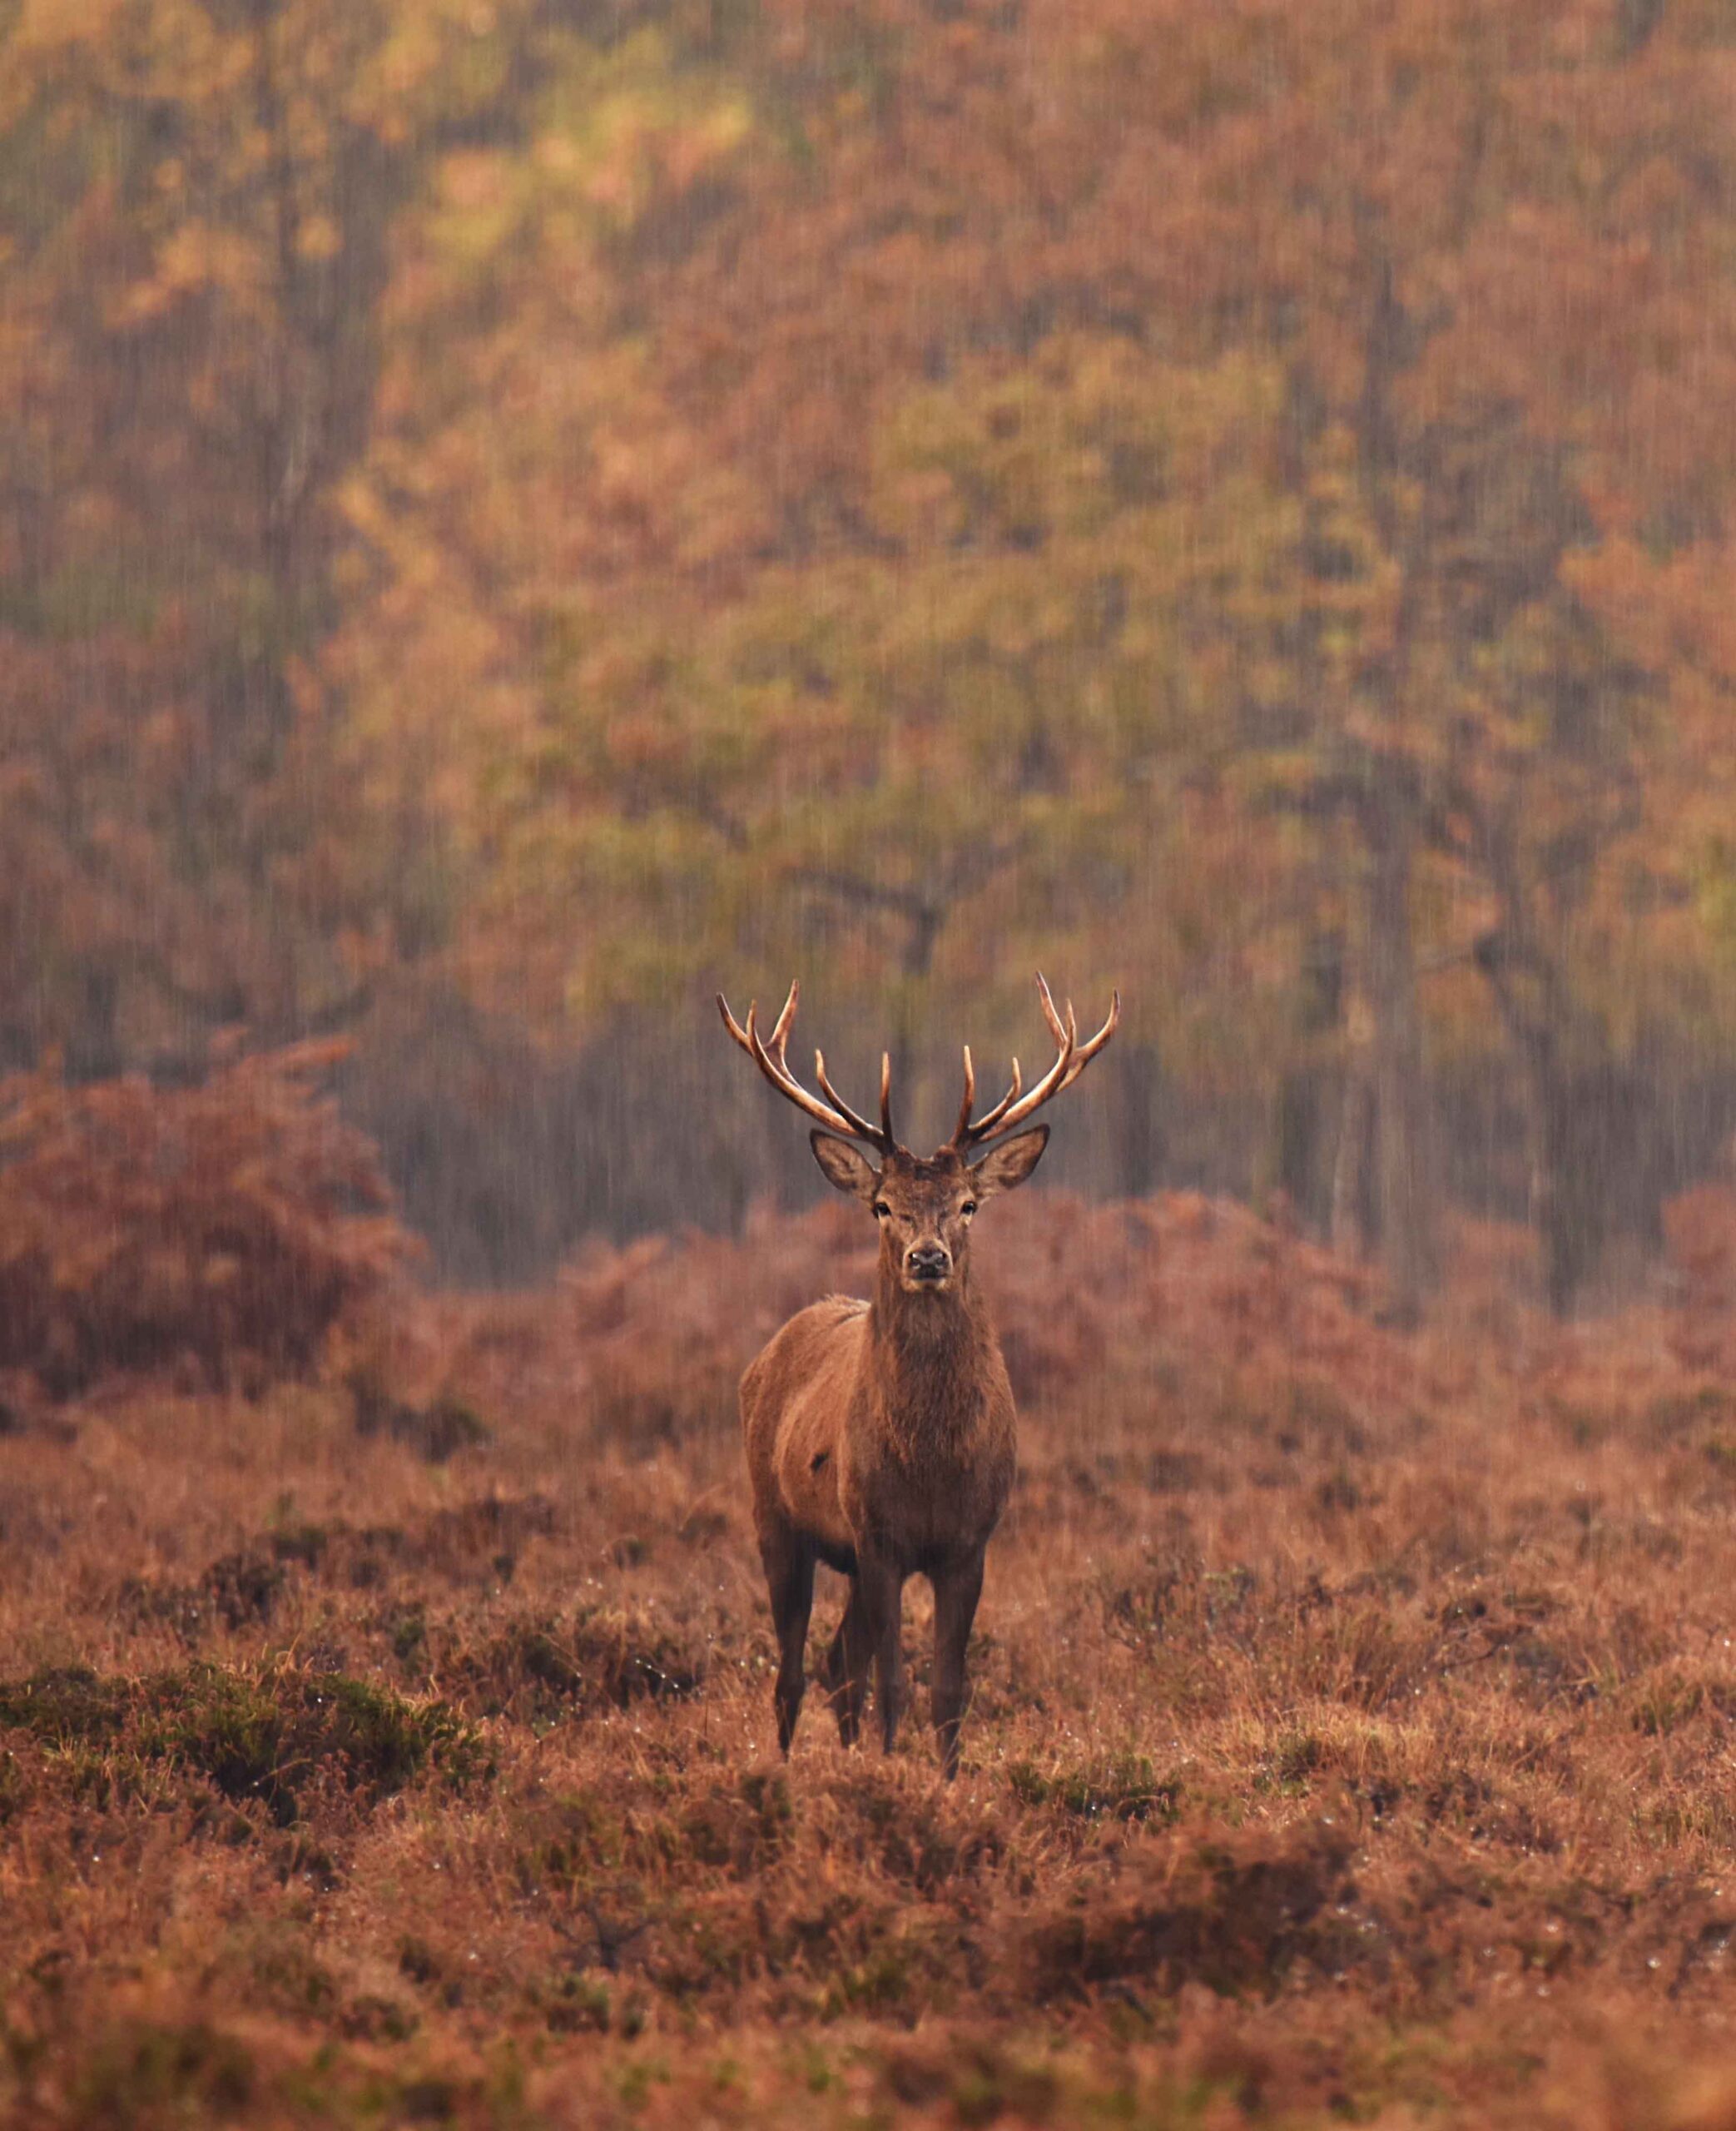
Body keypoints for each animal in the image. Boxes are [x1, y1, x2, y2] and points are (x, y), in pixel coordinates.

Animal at [716, 973, 1118, 1777]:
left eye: (967, 1204)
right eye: (883, 1206)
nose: (927, 1257)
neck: (931, 1460)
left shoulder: (970, 1542)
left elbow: (949, 1688)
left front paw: (946, 1780)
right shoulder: (878, 1536)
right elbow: (895, 1684)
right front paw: (891, 1771)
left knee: (839, 1662)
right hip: (776, 1517)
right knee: (795, 1671)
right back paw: (783, 1770)